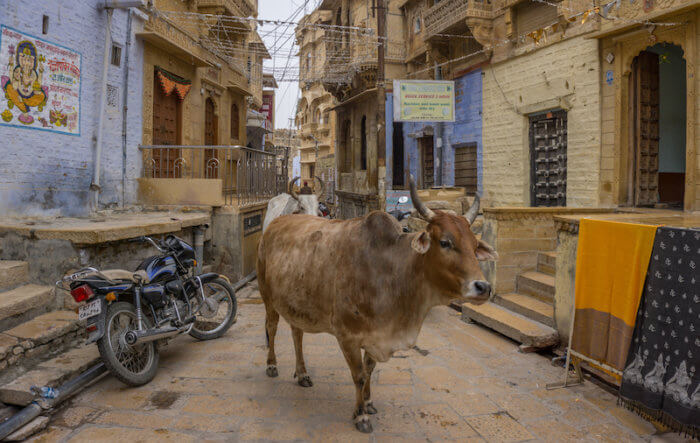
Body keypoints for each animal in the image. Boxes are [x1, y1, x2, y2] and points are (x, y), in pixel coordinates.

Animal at [258, 177, 498, 434]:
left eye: (475, 245)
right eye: (445, 242)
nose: (483, 287)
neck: (390, 271)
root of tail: (277, 222)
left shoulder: (375, 335)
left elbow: (370, 369)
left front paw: (369, 402)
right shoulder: (348, 336)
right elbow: (359, 375)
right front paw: (361, 415)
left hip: (296, 303)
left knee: (297, 334)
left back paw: (302, 373)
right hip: (267, 296)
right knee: (272, 327)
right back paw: (271, 366)